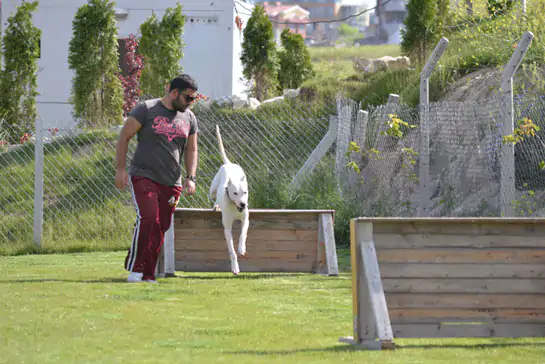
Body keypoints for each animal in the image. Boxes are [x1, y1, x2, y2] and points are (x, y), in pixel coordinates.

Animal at [209, 123, 250, 274]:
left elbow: (243, 233)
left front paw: (241, 248)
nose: (243, 204)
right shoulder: (227, 229)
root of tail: (229, 164)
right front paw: (235, 266)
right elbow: (231, 251)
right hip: (212, 190)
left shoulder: (245, 219)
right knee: (213, 197)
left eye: (245, 192)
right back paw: (216, 205)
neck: (234, 207)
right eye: (235, 193)